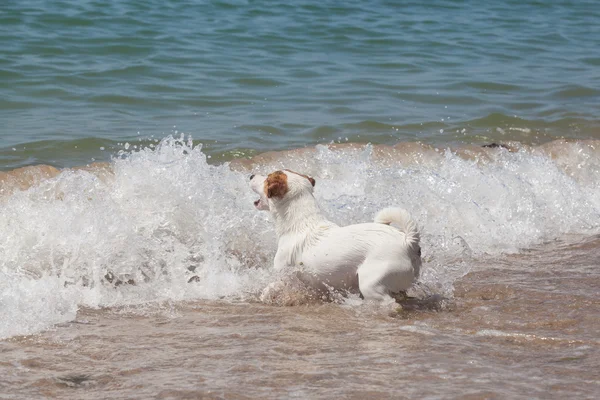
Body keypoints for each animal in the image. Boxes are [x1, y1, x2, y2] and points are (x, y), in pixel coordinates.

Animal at [248, 170, 422, 304]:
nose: (251, 175)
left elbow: (270, 287)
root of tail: (408, 242)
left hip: (371, 284)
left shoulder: (284, 274)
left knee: (389, 303)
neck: (301, 223)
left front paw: (262, 297)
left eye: (267, 178)